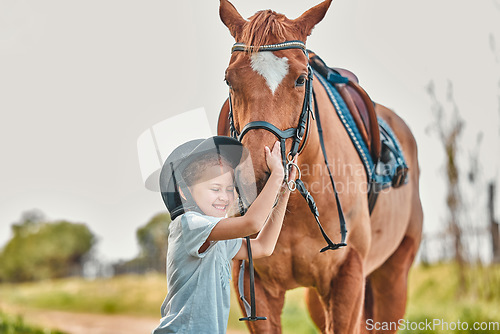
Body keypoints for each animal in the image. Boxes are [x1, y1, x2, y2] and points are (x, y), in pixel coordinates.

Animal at [218, 1, 422, 332]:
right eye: (229, 80)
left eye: (301, 79)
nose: (255, 175)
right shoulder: (253, 282)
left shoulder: (348, 276)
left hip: (392, 279)